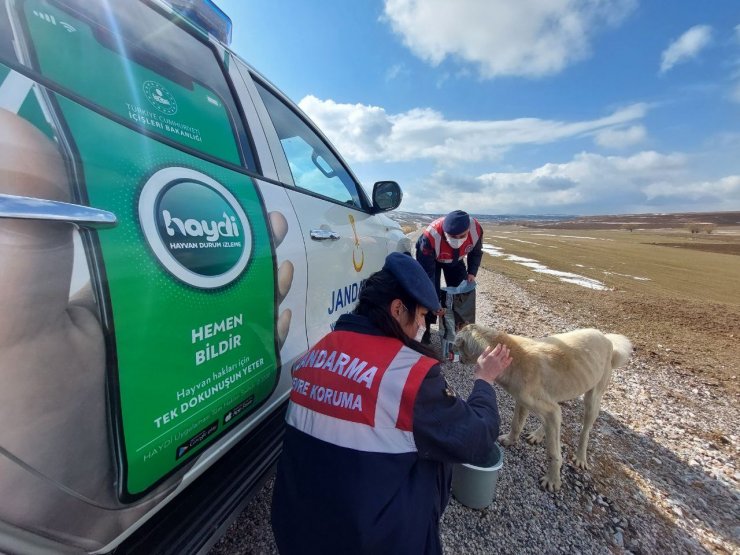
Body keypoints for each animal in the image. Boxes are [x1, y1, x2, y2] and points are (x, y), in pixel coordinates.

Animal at [454, 324, 632, 494]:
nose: (452, 351)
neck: (513, 356)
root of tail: (607, 338)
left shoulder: (547, 409)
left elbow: (553, 453)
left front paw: (553, 480)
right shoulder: (524, 402)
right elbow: (516, 424)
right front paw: (510, 440)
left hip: (592, 400)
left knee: (585, 431)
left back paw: (581, 457)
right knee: (556, 419)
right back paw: (538, 434)